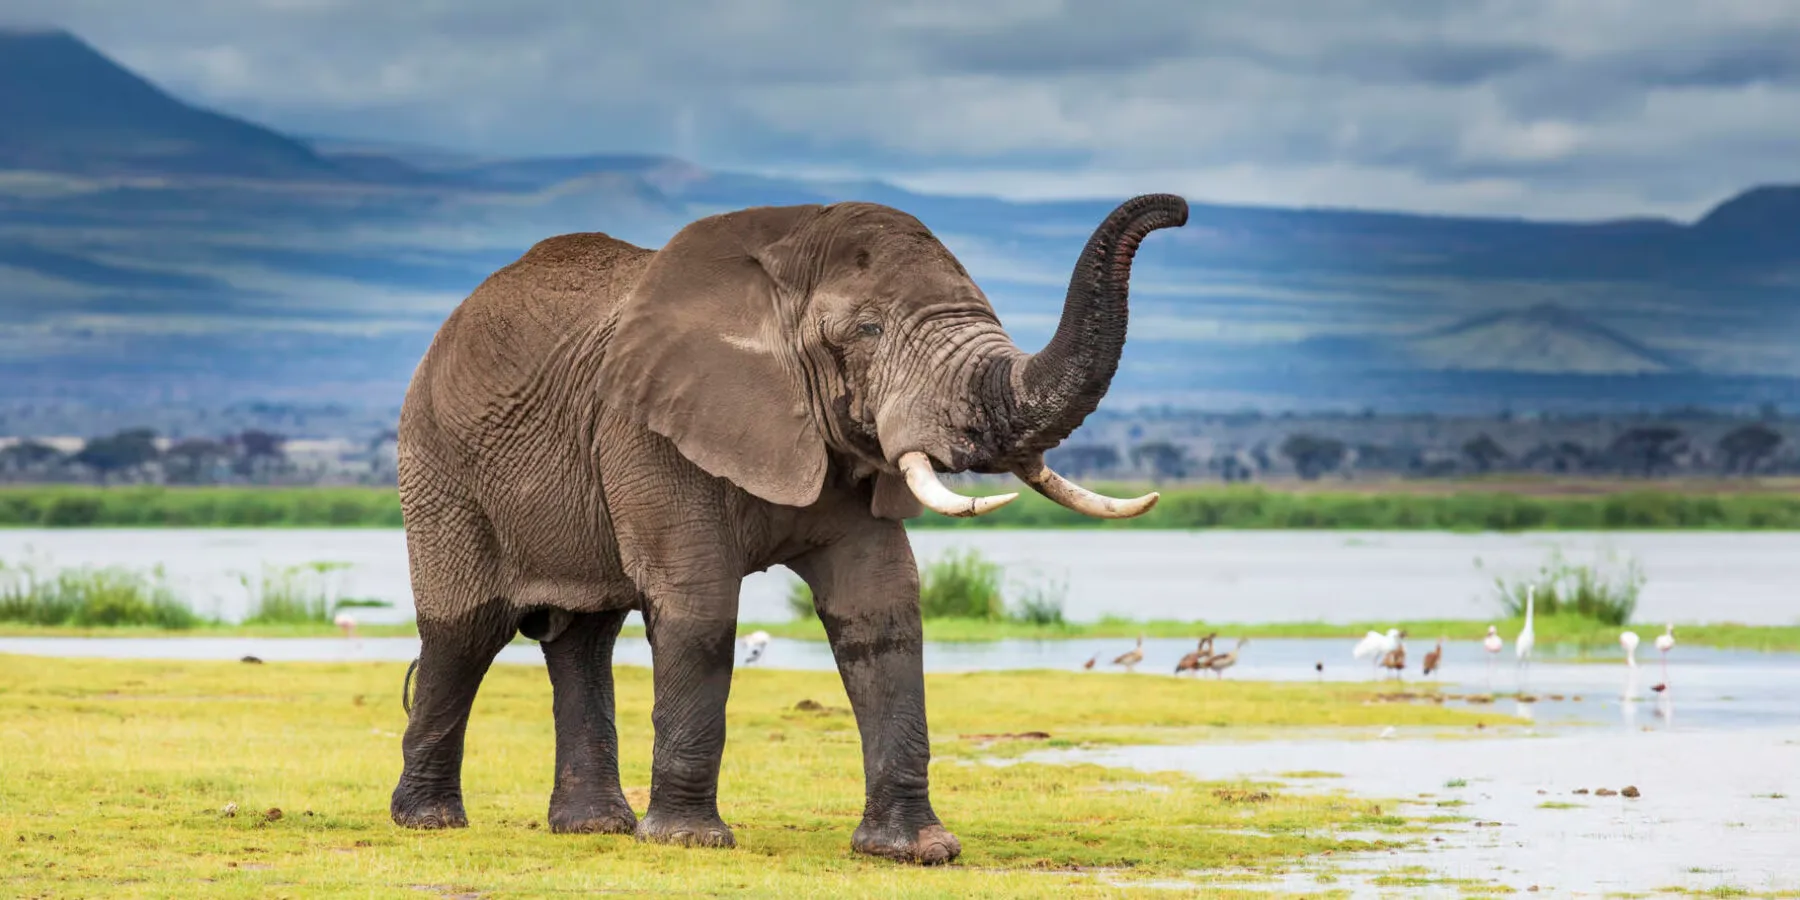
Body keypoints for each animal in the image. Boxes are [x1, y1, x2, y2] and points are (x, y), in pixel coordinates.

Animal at [388, 191, 1189, 864]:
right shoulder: (642, 427)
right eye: (867, 330)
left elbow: (881, 606)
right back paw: (429, 822)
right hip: (438, 466)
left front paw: (915, 851)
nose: (1178, 211)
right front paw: (690, 843)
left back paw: (593, 828)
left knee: (583, 638)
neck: (776, 272)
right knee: (466, 632)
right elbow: (700, 605)